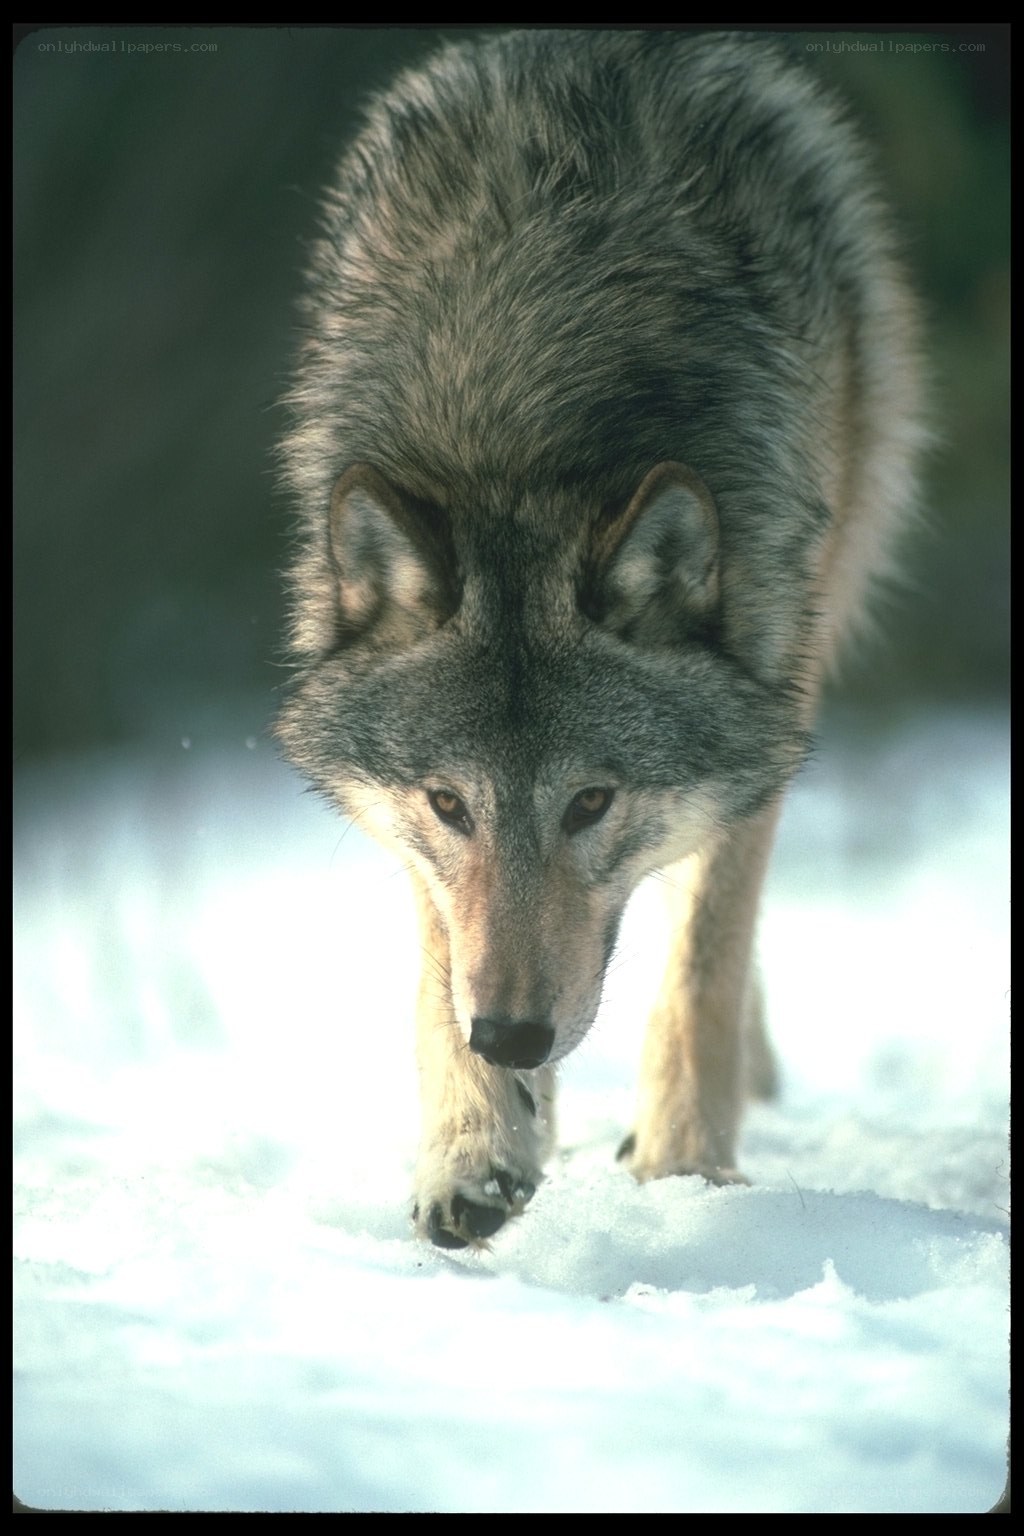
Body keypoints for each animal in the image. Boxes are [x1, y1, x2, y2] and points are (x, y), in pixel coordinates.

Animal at [276, 29, 923, 1248]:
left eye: (590, 802)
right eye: (449, 803)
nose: (511, 1037)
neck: (522, 437)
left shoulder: (768, 688)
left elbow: (700, 964)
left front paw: (682, 1171)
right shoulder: (431, 864)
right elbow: (443, 969)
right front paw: (476, 1151)